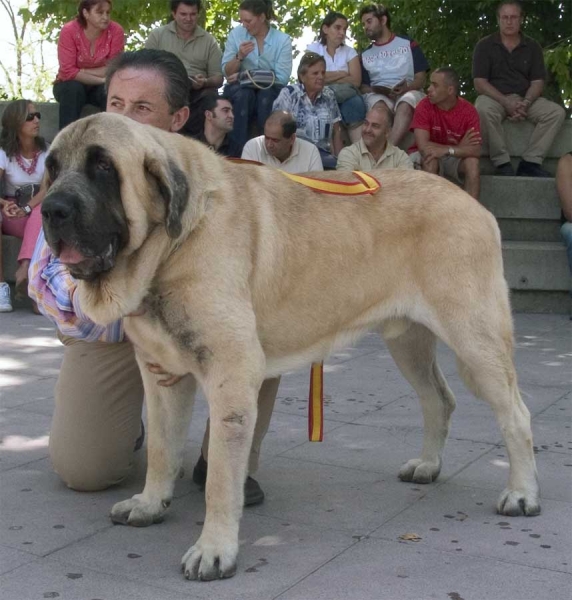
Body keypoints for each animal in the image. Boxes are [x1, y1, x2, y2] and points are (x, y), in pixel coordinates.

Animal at [41, 112, 540, 580]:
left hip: (476, 340)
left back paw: (522, 493)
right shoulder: (163, 375)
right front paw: (149, 503)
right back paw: (429, 465)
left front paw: (214, 550)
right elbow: (163, 449)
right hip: (408, 342)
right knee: (439, 399)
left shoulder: (231, 375)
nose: (50, 209)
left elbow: (221, 477)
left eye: (103, 167)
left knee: (515, 414)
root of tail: (474, 204)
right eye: (52, 167)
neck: (171, 245)